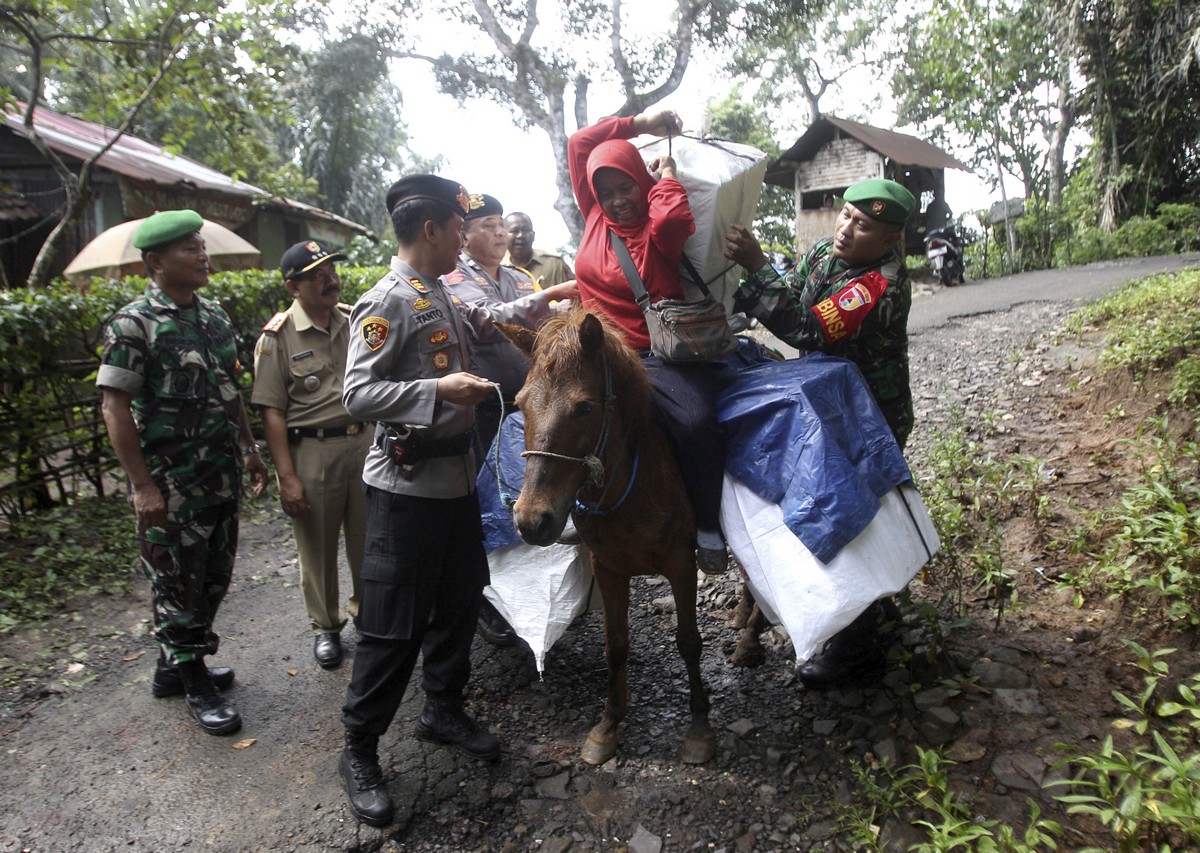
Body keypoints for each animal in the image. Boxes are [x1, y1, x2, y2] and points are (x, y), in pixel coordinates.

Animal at [494, 309, 710, 767]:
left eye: (585, 407)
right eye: (519, 404)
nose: (532, 520)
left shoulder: (682, 564)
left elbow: (688, 642)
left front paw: (699, 727)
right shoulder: (607, 567)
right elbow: (616, 647)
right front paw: (608, 726)